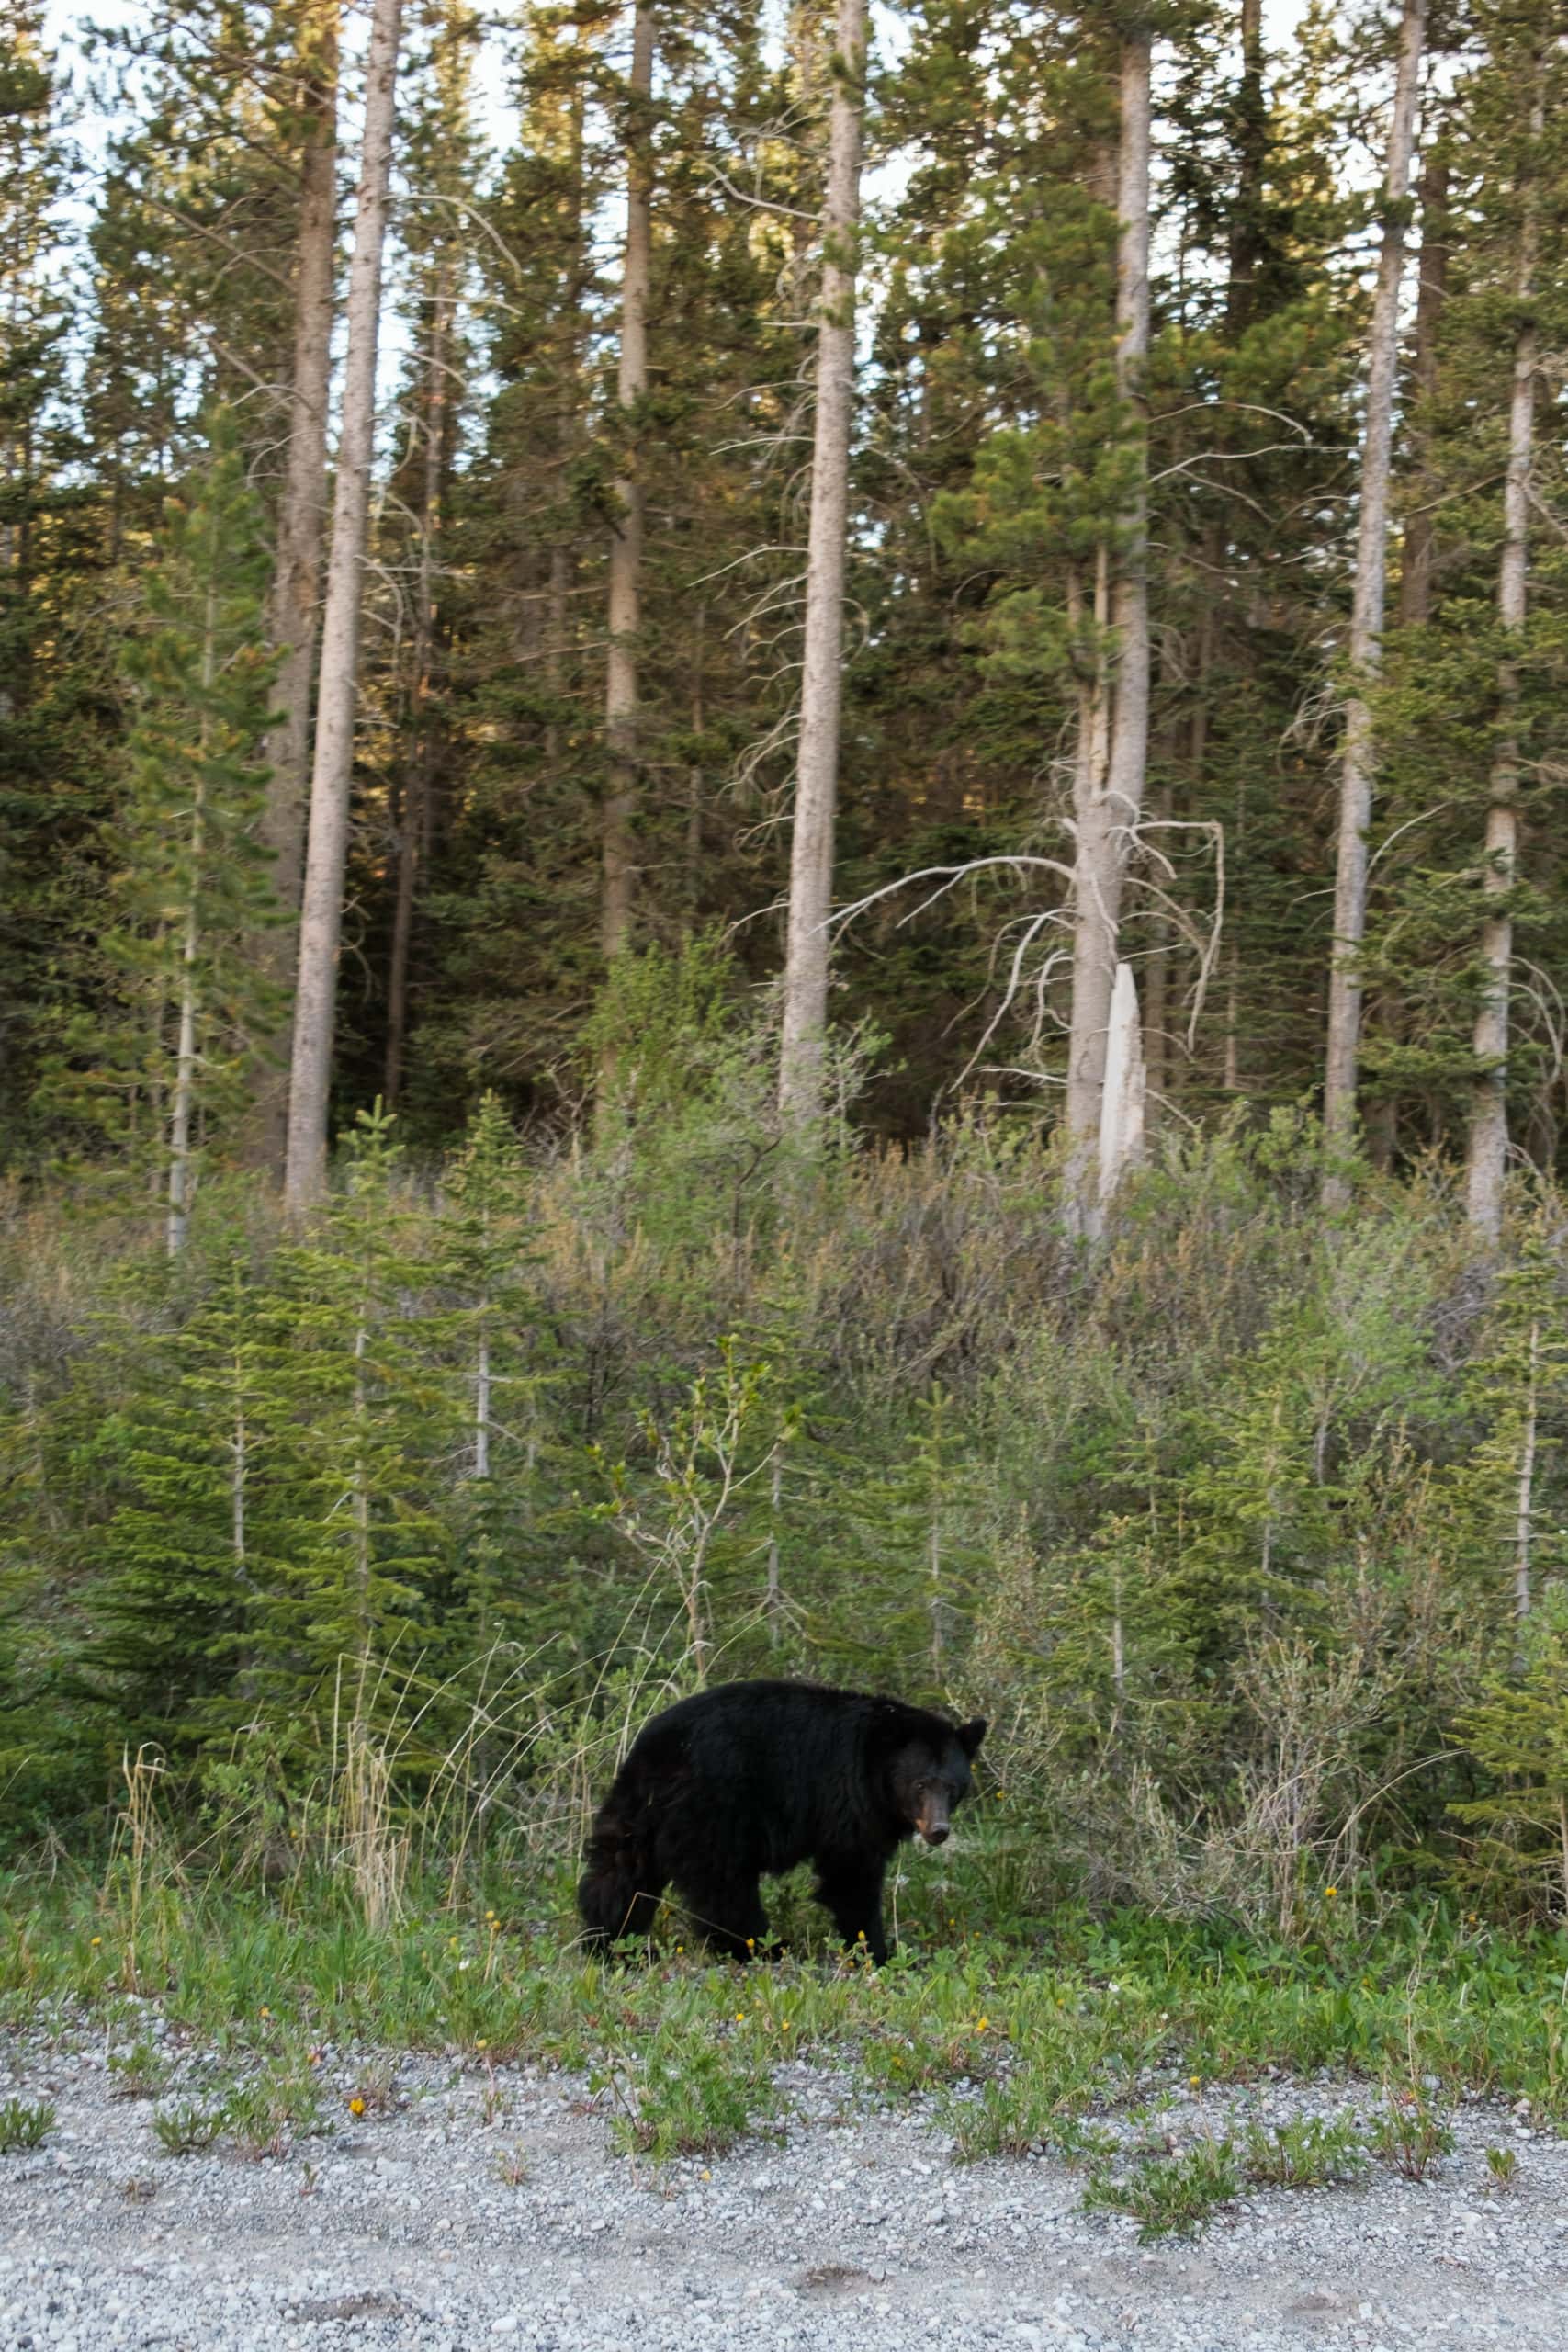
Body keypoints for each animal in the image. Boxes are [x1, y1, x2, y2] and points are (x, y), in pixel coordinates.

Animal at [577, 1677, 986, 1965]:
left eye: (952, 1787)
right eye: (920, 1784)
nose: (938, 1831)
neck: (875, 1770)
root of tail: (659, 1751)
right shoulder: (846, 1799)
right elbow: (851, 1874)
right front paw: (877, 1949)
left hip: (638, 1810)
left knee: (620, 1870)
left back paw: (611, 1941)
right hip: (715, 1806)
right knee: (722, 1883)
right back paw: (759, 1945)